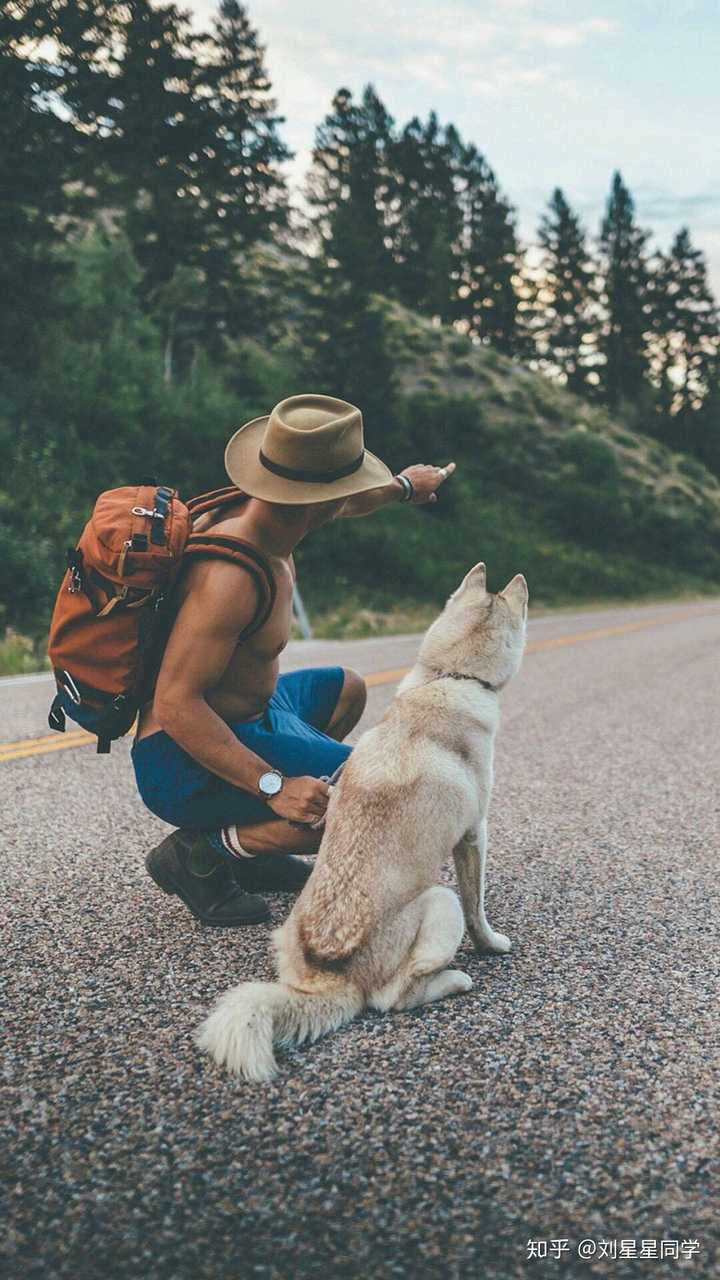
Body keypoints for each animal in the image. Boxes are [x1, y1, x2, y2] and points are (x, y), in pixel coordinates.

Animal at [196, 565, 527, 1075]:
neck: (449, 678)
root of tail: (333, 976)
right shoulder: (474, 837)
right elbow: (479, 910)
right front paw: (492, 945)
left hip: (285, 935)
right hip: (441, 901)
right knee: (395, 997)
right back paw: (455, 980)